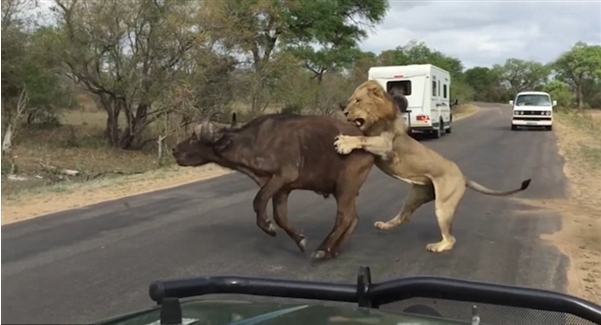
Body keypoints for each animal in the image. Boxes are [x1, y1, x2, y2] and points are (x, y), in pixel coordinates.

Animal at [171, 112, 372, 260]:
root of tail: (365, 142)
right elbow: (280, 216)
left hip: (346, 185)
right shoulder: (282, 189)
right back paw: (334, 250)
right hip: (343, 191)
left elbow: (258, 201)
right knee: (353, 218)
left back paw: (323, 249)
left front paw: (268, 227)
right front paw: (300, 239)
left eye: (193, 138)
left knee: (344, 217)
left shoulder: (282, 176)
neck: (254, 141)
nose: (174, 150)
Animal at [332, 79, 528, 252]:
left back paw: (437, 247)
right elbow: (363, 136)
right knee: (405, 216)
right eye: (350, 100)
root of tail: (463, 177)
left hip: (444, 205)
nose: (345, 112)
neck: (375, 119)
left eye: (358, 101)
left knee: (450, 238)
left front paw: (344, 142)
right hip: (415, 196)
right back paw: (385, 225)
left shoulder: (387, 147)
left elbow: (363, 138)